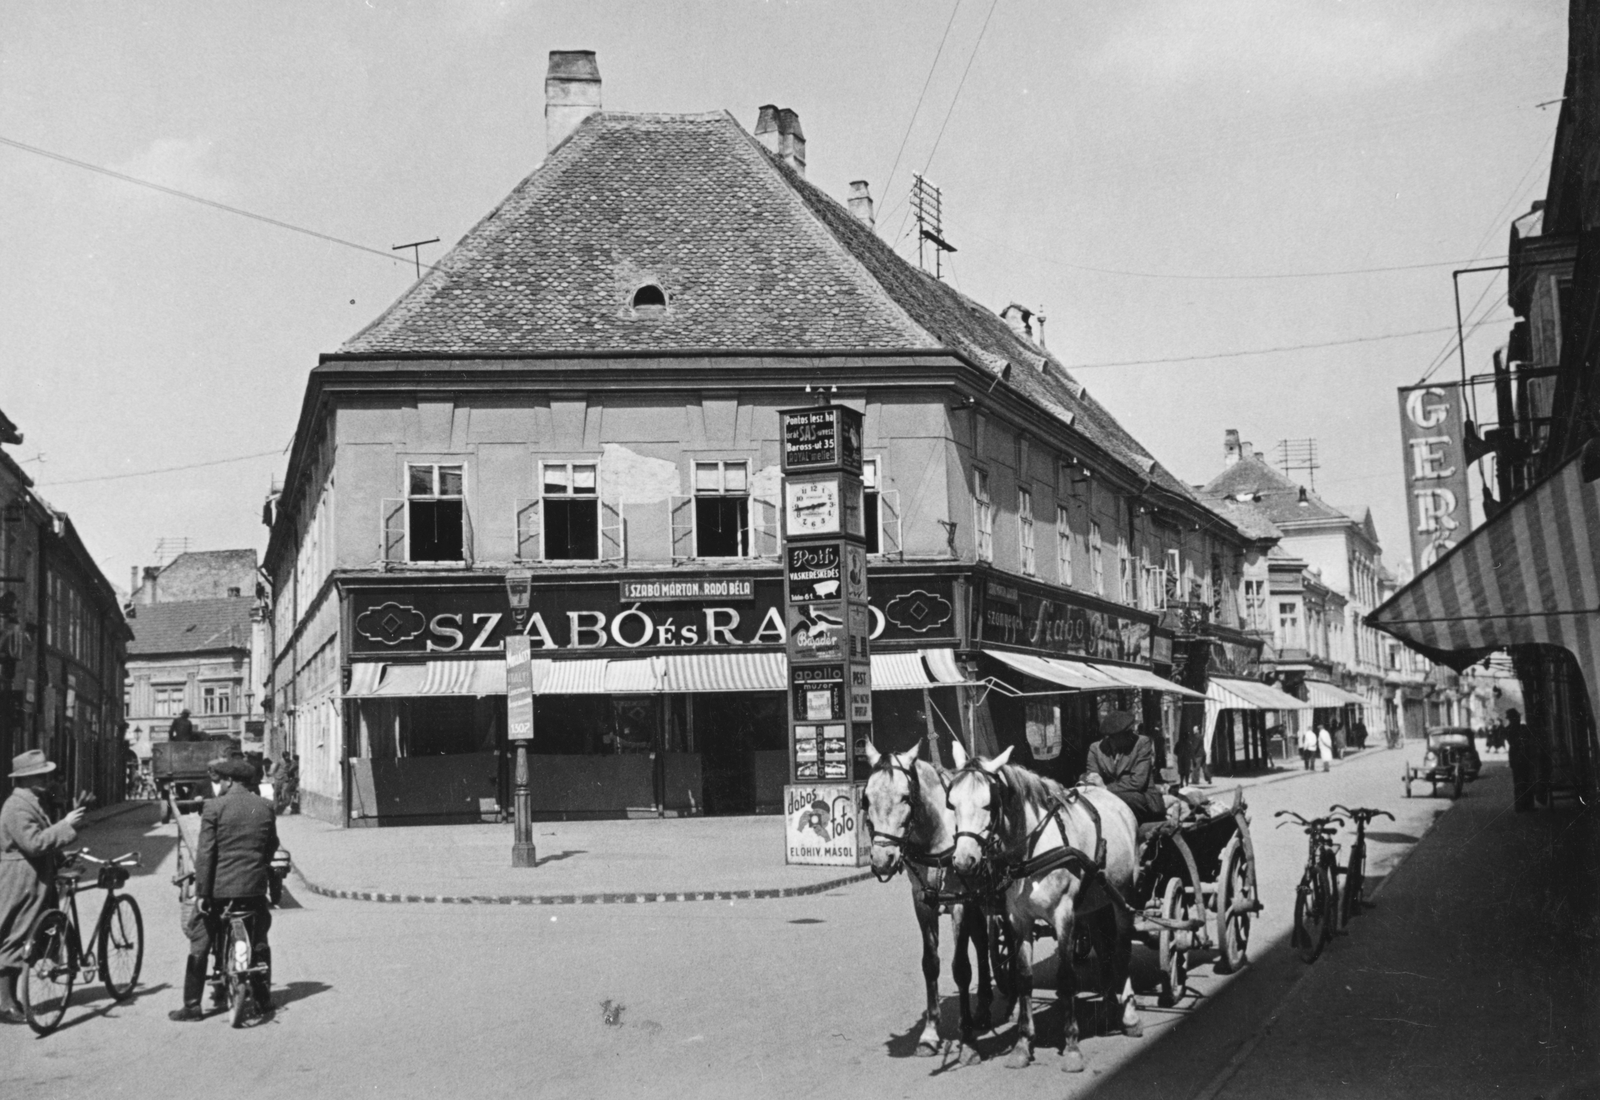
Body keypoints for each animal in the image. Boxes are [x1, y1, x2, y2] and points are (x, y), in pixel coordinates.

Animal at [947, 741, 1139, 1068]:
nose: (963, 861)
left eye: (989, 805)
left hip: (1122, 896)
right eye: (952, 804)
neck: (1032, 849)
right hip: (1096, 902)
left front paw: (1072, 1045)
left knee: (1123, 949)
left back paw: (1129, 1015)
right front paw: (1023, 1044)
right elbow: (1024, 977)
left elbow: (1067, 977)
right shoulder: (1018, 919)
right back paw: (1108, 1005)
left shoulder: (1064, 915)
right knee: (1104, 948)